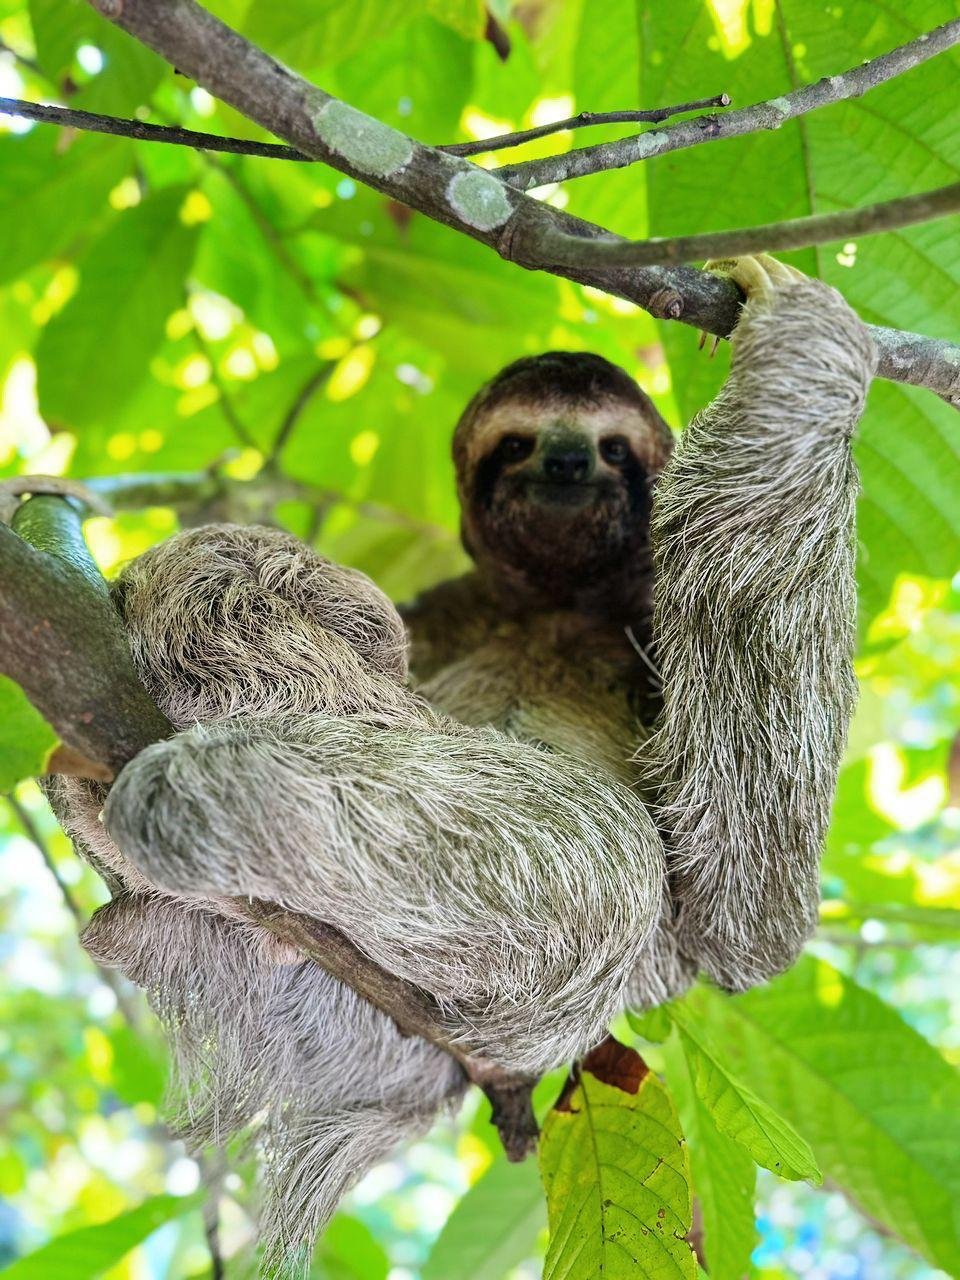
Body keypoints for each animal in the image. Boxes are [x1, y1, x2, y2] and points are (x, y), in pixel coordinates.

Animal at [49, 255, 875, 1271]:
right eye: (516, 442)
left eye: (611, 449)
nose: (564, 463)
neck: (557, 603)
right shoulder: (449, 600)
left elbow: (747, 908)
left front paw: (801, 335)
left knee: (597, 849)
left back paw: (218, 782)